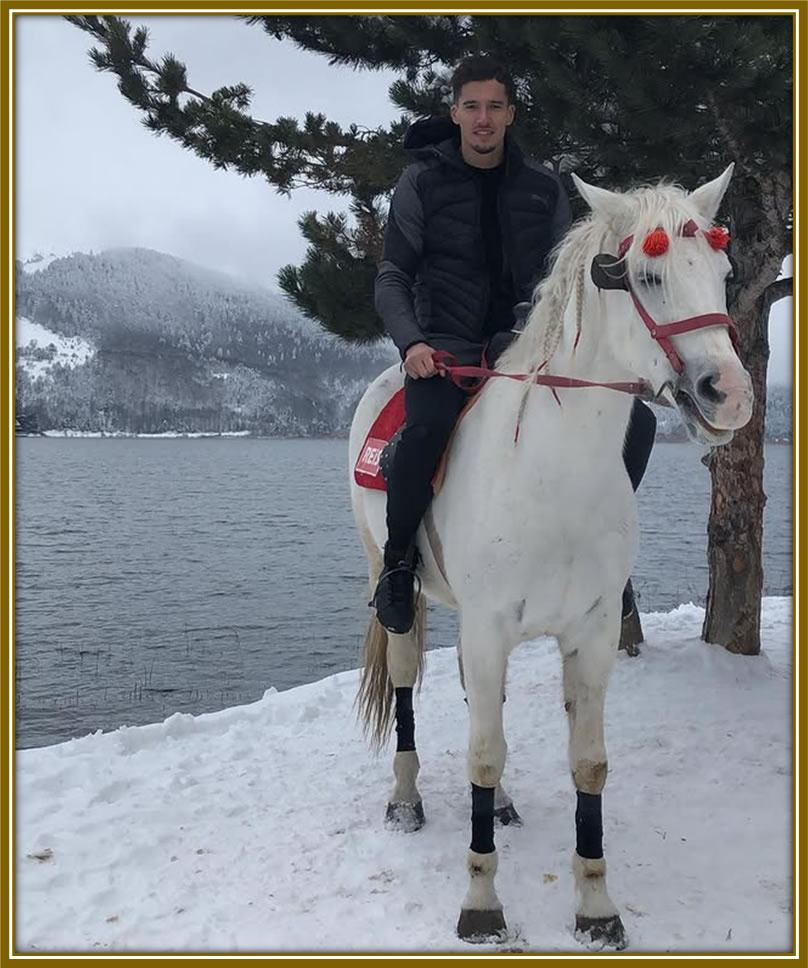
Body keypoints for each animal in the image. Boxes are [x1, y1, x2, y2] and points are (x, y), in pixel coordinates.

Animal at [350, 164, 756, 944]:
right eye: (647, 275)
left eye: (723, 272)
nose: (730, 394)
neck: (552, 470)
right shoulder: (487, 628)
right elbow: (481, 752)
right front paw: (481, 902)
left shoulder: (589, 634)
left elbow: (586, 764)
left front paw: (596, 906)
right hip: (397, 587)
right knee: (411, 679)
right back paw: (406, 798)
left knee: (483, 705)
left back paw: (503, 803)